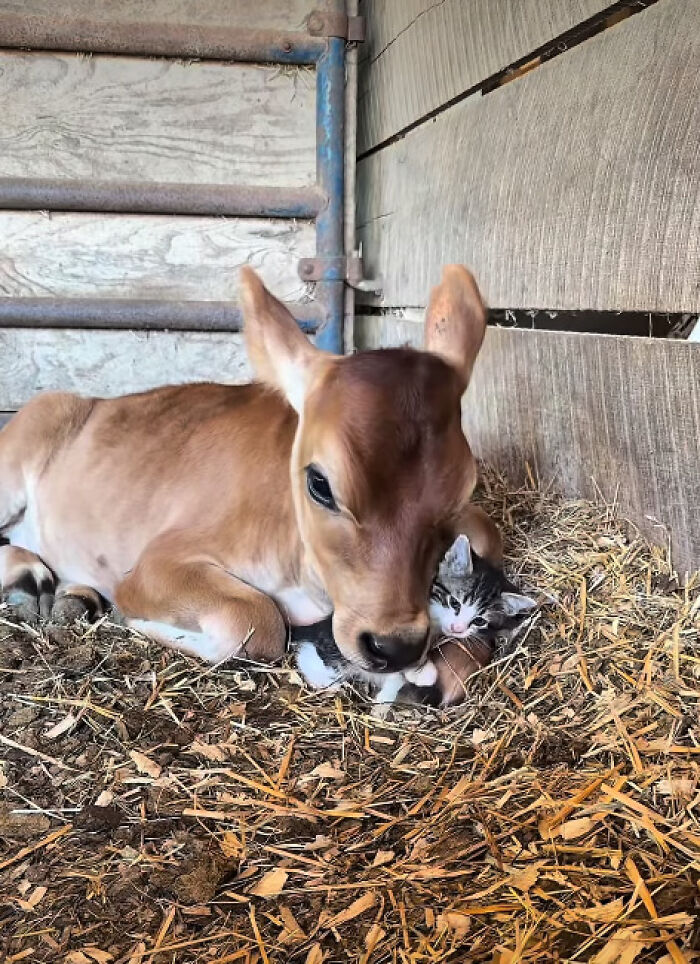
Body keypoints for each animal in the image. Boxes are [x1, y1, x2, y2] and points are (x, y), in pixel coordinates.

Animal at [0, 265, 501, 692]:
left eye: (462, 490)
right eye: (320, 485)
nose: (394, 646)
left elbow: (485, 532)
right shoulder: (156, 563)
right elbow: (257, 620)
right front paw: (136, 619)